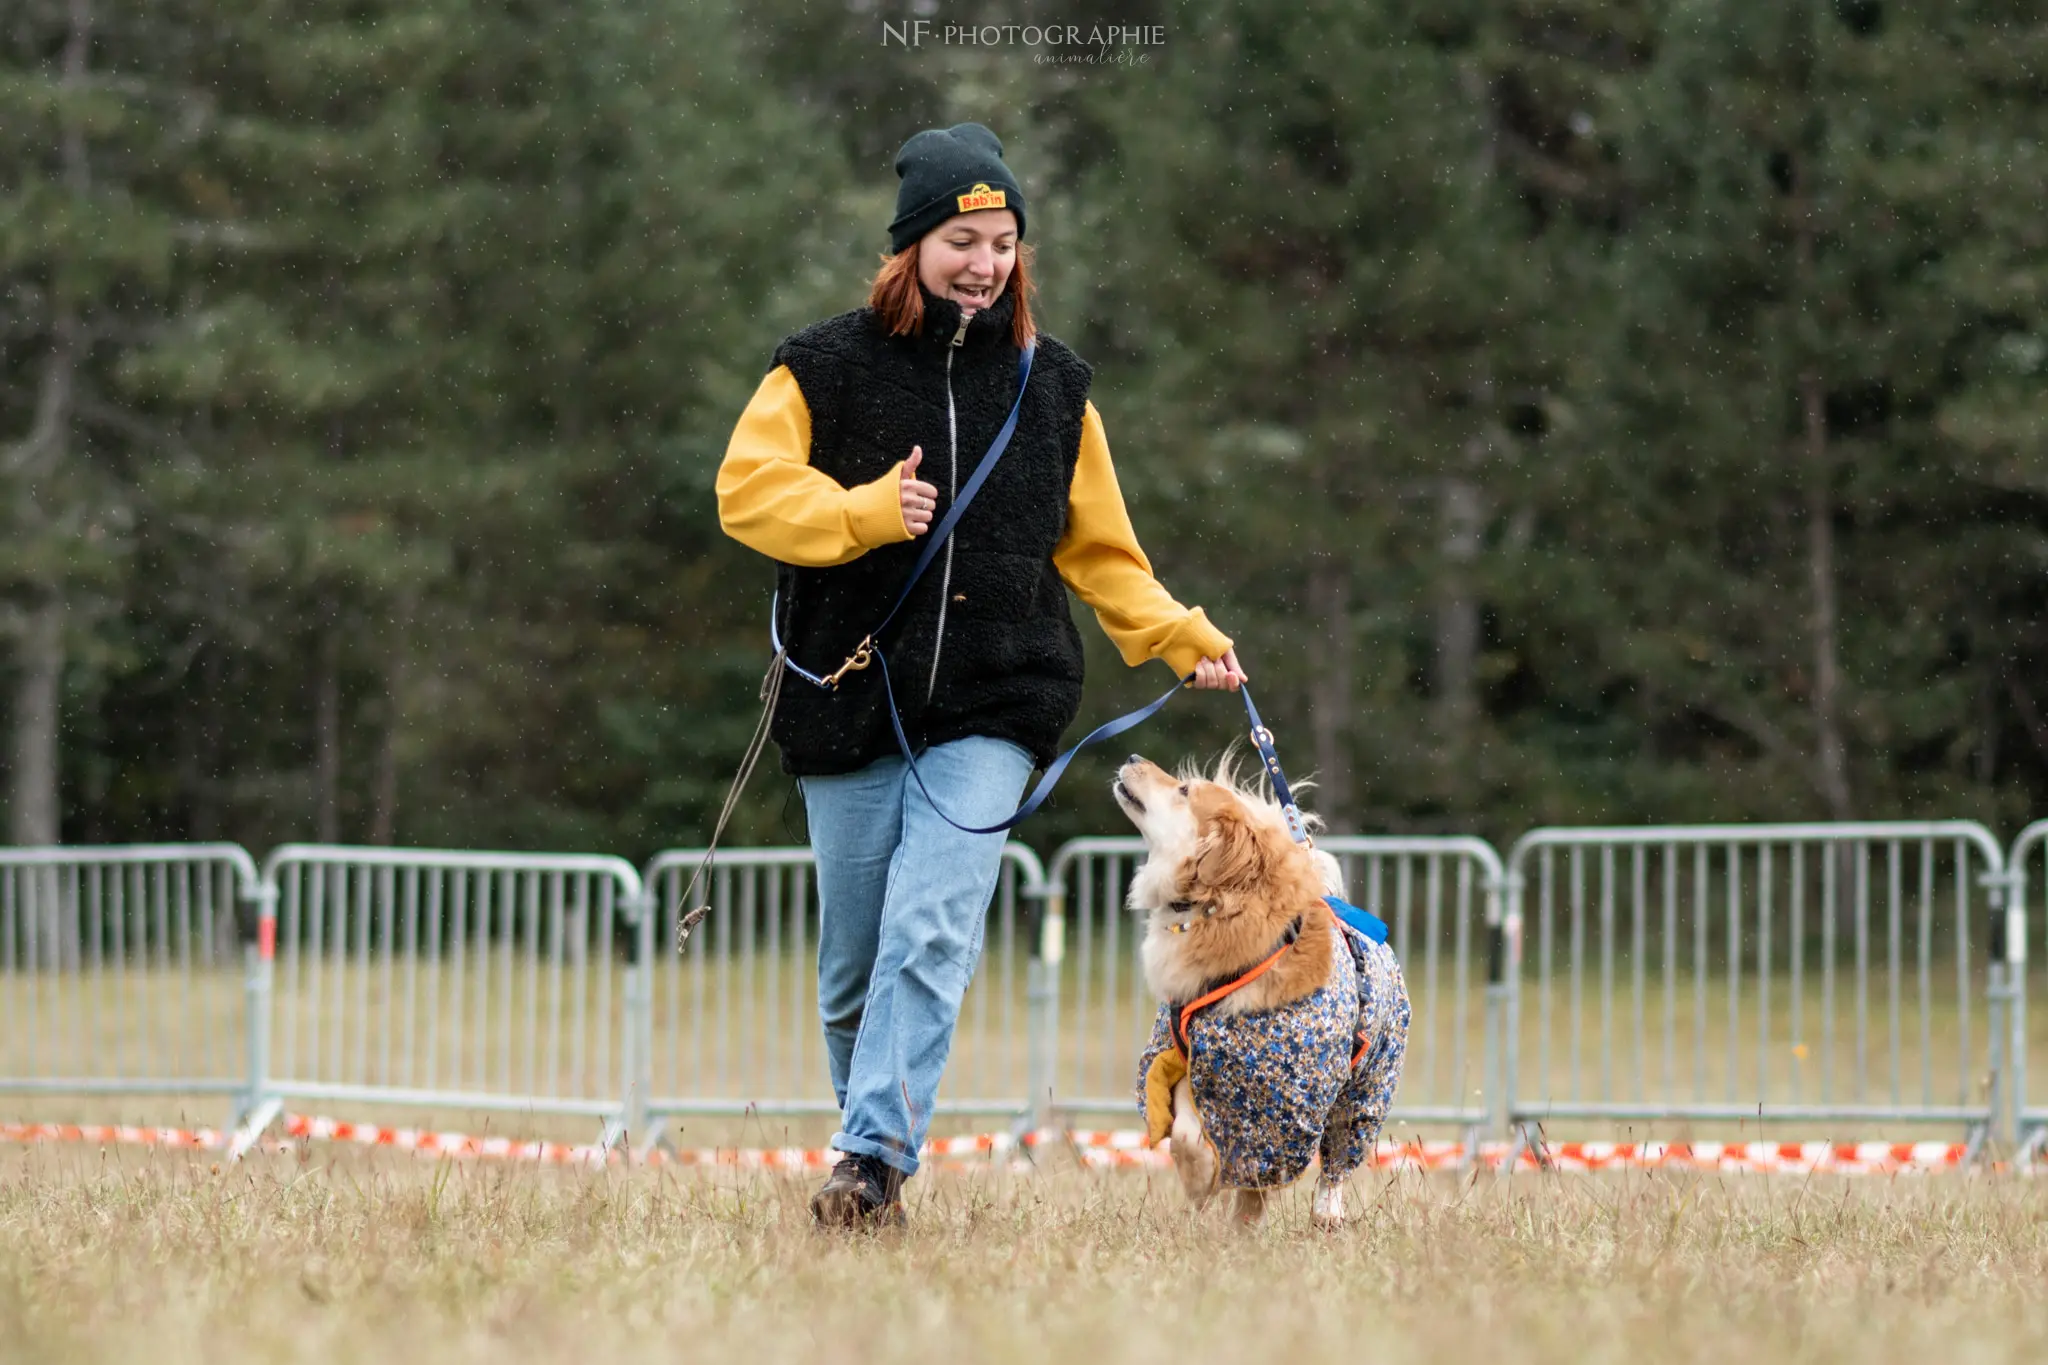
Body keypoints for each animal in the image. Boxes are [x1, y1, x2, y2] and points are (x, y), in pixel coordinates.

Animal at [1105, 753, 1409, 1236]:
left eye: (1185, 790)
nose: (1133, 758)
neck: (1215, 909)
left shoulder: (1280, 1097)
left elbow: (1259, 1163)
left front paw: (1215, 1191)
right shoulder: (1192, 1059)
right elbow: (1189, 1131)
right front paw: (1201, 1180)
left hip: (1368, 1086)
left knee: (1336, 1159)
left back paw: (1321, 1214)